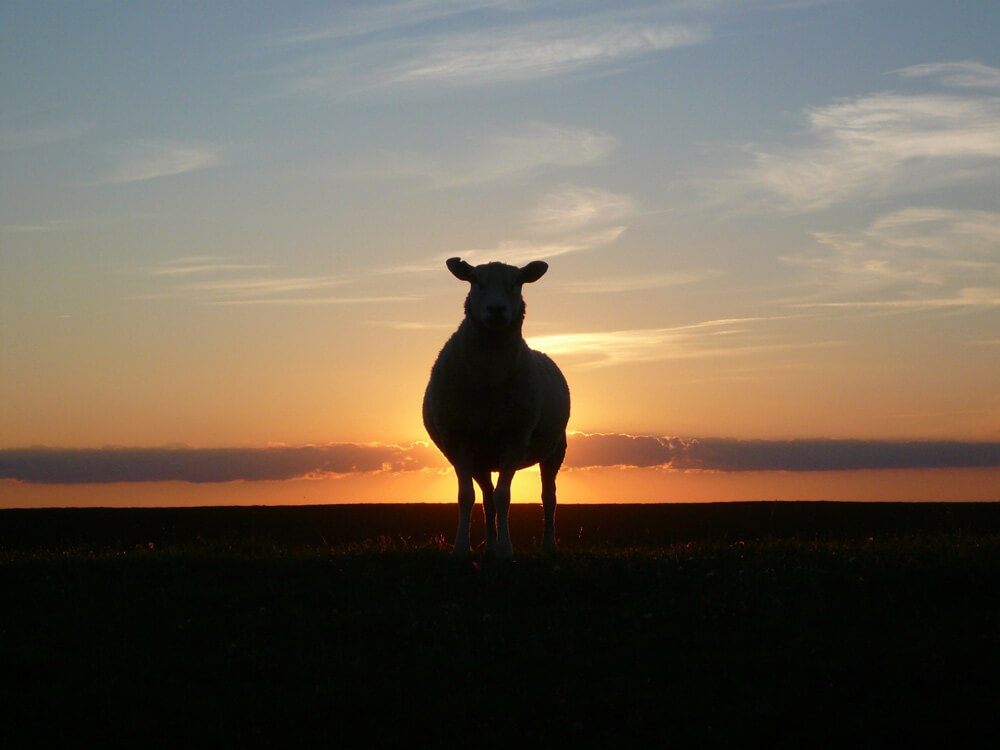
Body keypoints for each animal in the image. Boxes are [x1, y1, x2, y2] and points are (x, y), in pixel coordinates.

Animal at [422, 258, 572, 560]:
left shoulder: (514, 439)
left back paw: (548, 544)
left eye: (517, 282)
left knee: (548, 498)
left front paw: (505, 550)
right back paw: (489, 545)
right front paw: (462, 549)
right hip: (481, 458)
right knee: (487, 499)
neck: (488, 380)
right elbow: (466, 497)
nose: (496, 309)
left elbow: (505, 497)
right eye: (475, 281)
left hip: (555, 450)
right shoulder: (460, 441)